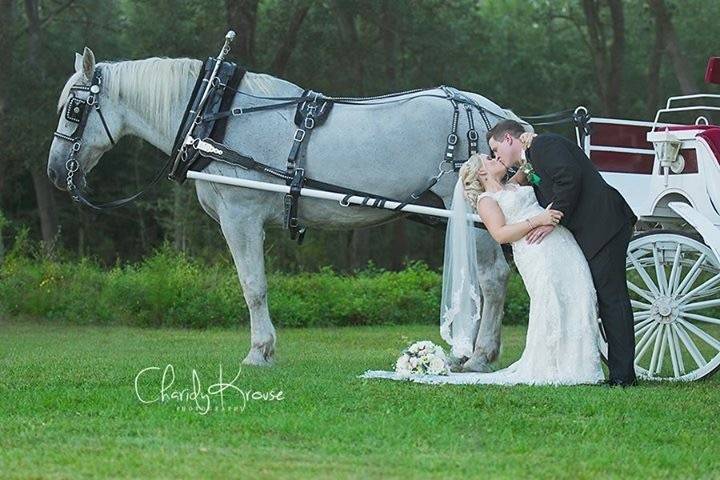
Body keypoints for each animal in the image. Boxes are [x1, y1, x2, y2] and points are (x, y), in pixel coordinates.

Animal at [49, 48, 524, 370]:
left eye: (75, 107)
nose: (55, 171)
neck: (216, 116)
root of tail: (492, 115)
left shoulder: (240, 217)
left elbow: (253, 286)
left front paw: (259, 352)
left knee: (493, 279)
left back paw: (480, 356)